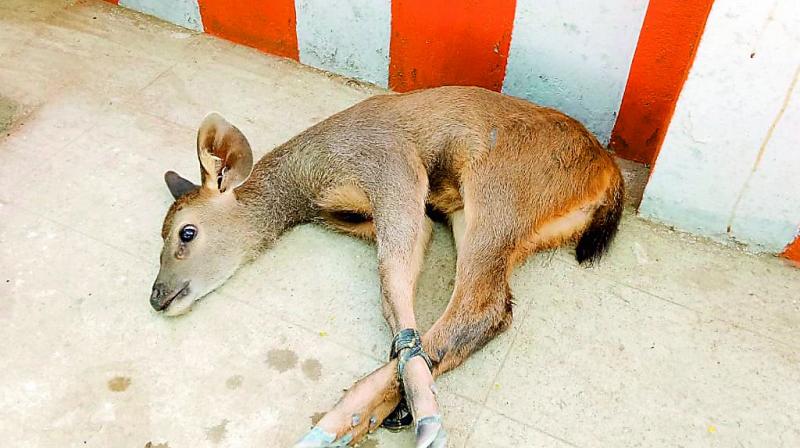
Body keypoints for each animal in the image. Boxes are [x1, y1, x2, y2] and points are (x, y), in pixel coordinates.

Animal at [150, 86, 624, 446]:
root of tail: (609, 175)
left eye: (186, 233)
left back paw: (355, 423)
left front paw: (422, 410)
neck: (310, 185)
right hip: (478, 212)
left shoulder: (393, 168)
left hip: (499, 190)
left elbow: (391, 284)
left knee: (480, 305)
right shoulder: (365, 214)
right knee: (489, 305)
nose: (157, 296)